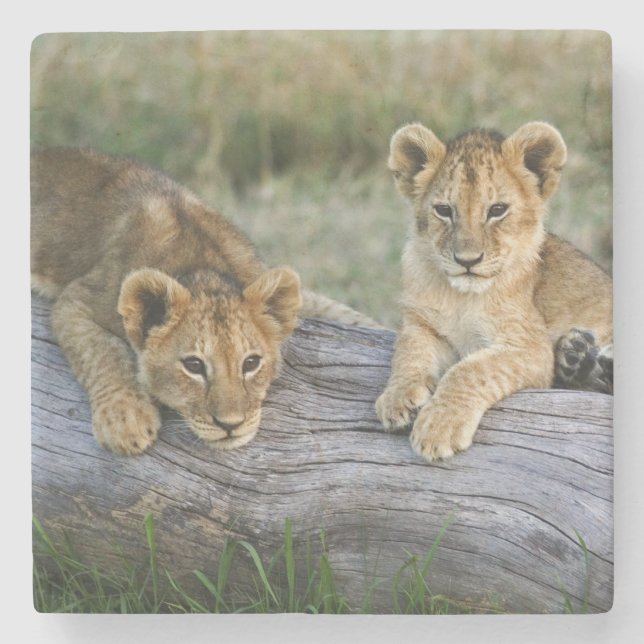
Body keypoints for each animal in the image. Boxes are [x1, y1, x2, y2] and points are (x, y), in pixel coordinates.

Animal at [31, 147, 378, 455]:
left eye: (251, 363)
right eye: (194, 366)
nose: (230, 425)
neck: (202, 265)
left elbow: (343, 311)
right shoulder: (79, 299)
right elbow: (103, 353)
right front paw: (125, 420)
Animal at [375, 122, 612, 462]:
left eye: (497, 210)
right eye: (444, 210)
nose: (467, 261)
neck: (461, 296)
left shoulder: (530, 347)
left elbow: (471, 369)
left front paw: (438, 426)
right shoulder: (422, 324)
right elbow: (407, 351)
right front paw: (397, 398)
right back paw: (577, 357)